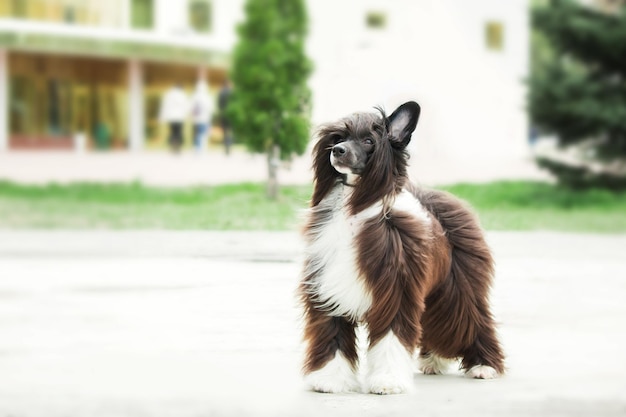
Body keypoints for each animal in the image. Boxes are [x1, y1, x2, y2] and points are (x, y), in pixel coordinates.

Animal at [298, 101, 502, 394]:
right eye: (339, 137)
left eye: (369, 141)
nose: (337, 151)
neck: (354, 206)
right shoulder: (328, 287)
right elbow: (332, 334)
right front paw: (330, 379)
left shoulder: (396, 290)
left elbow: (390, 338)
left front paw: (387, 381)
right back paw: (434, 361)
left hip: (457, 287)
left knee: (470, 319)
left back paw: (484, 366)